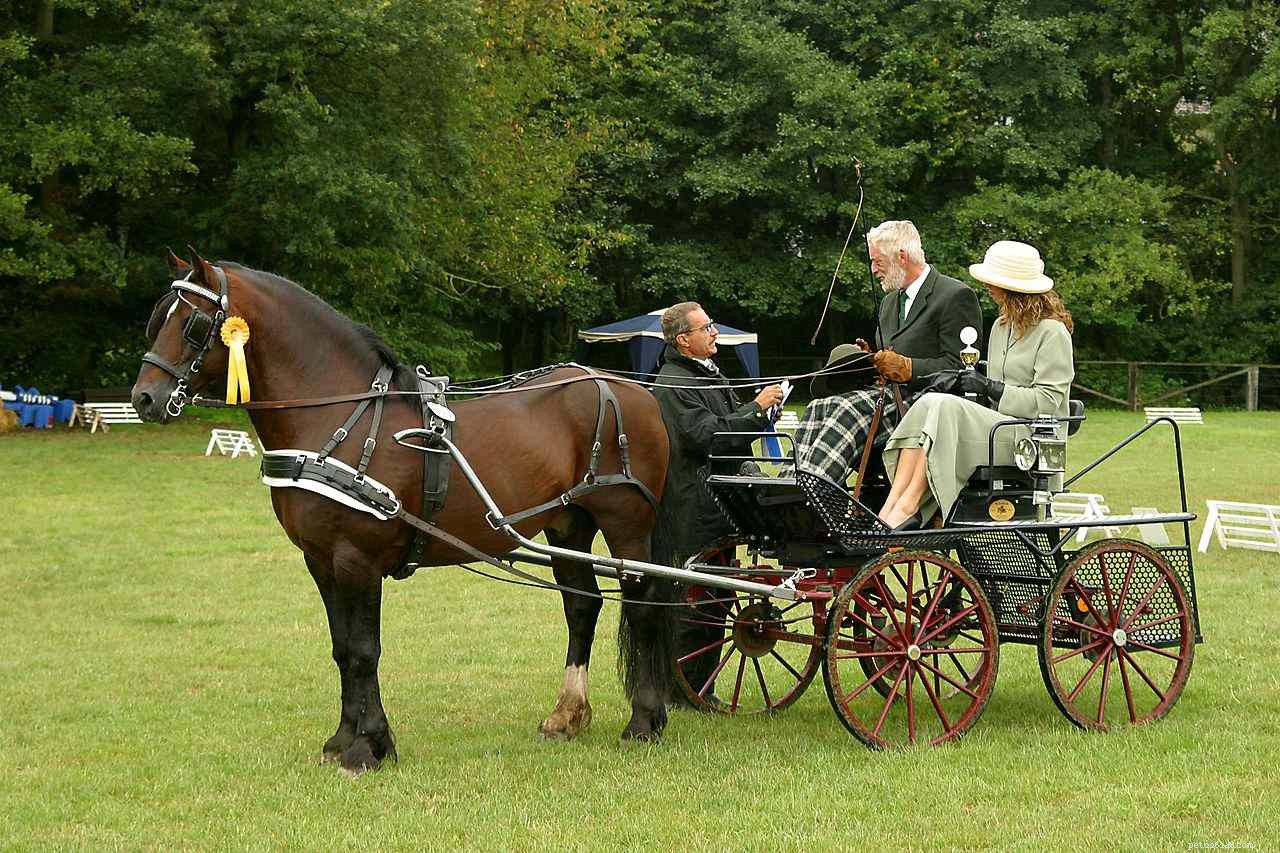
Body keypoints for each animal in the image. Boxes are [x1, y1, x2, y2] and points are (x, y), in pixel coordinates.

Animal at [131, 251, 672, 774]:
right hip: (567, 524)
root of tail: (628, 389)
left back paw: (644, 721)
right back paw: (566, 715)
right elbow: (342, 649)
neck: (341, 417)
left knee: (643, 605)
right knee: (582, 606)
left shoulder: (357, 557)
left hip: (625, 523)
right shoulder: (320, 560)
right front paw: (343, 741)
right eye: (158, 318)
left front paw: (368, 747)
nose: (144, 399)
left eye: (193, 324)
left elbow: (364, 650)